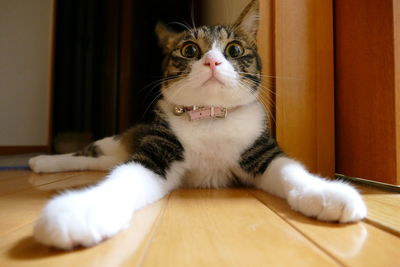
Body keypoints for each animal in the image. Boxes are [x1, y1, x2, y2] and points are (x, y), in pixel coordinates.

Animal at [28, 0, 366, 251]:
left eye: (234, 49)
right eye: (189, 50)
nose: (212, 62)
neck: (210, 118)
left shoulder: (261, 151)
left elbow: (290, 170)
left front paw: (328, 193)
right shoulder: (160, 150)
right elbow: (124, 177)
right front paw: (79, 210)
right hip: (118, 141)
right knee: (90, 153)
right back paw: (41, 161)